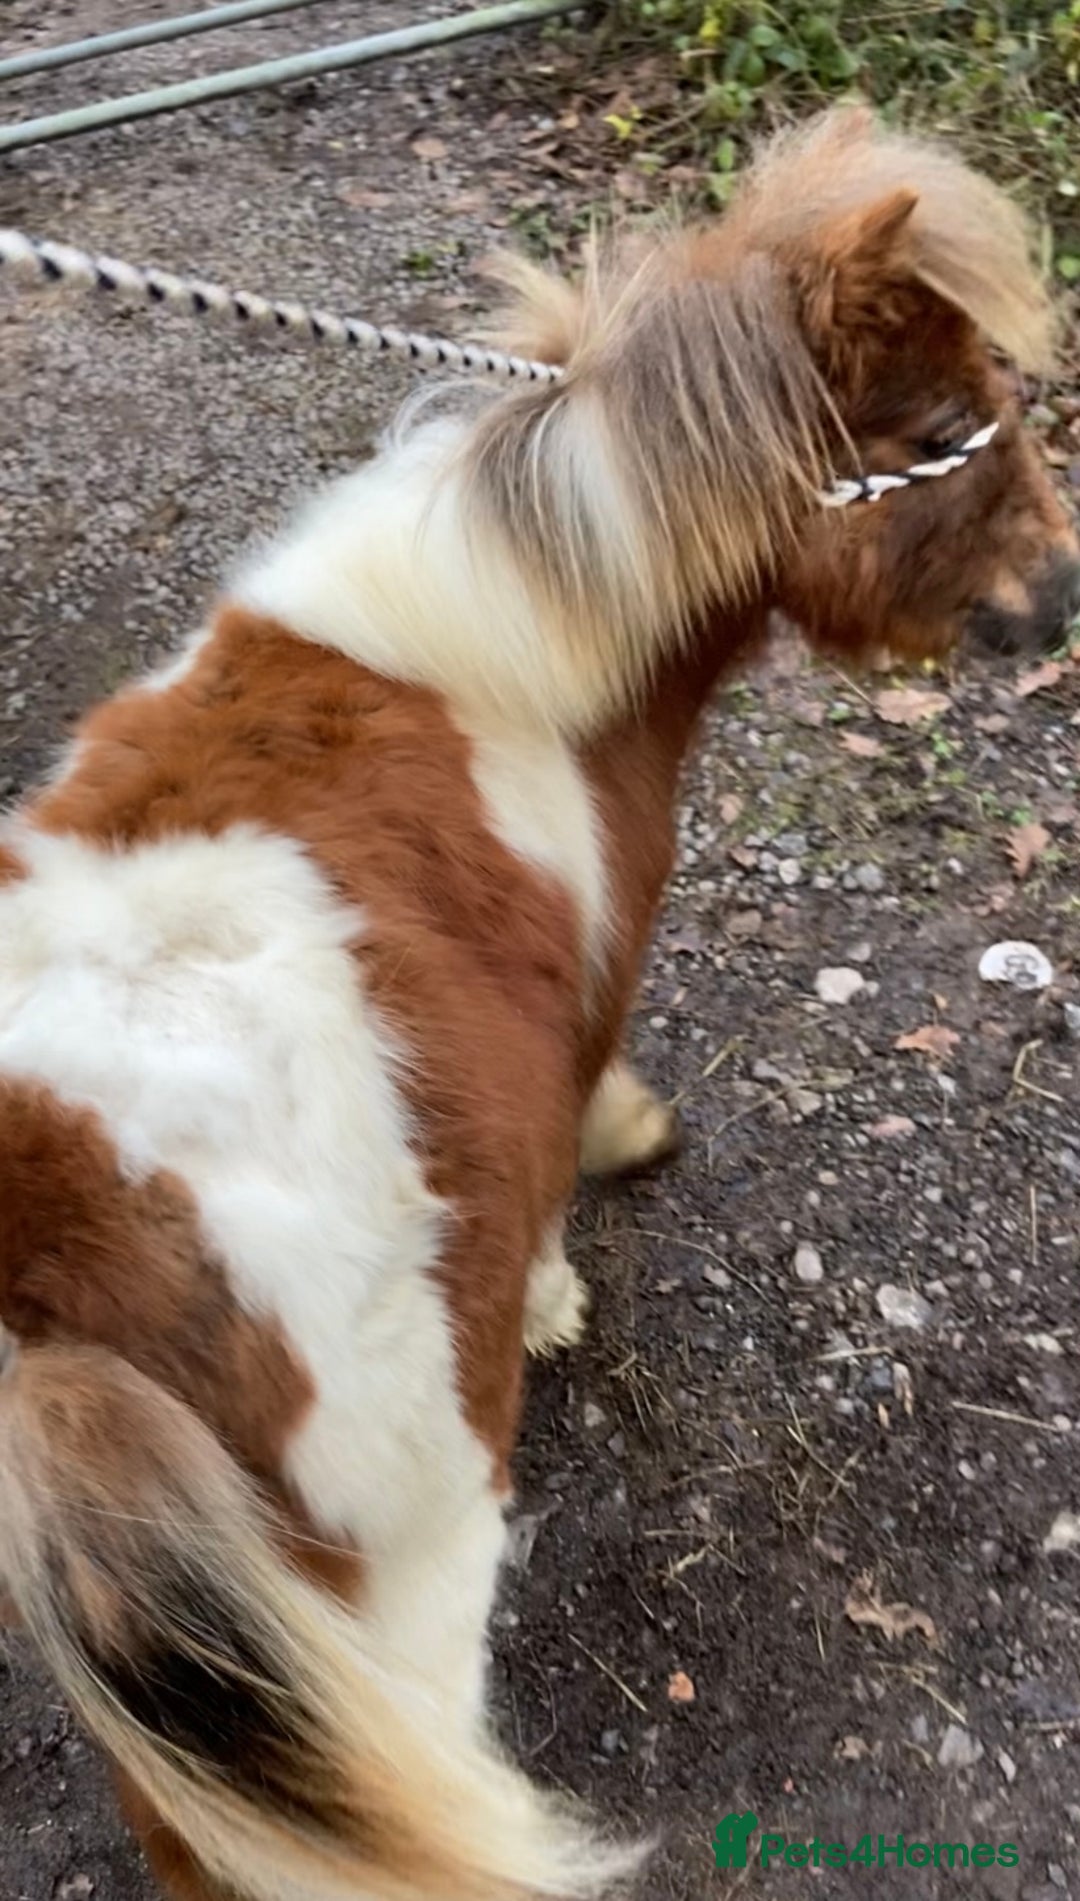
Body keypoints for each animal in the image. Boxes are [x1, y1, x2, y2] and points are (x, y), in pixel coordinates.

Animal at [0, 106, 1076, 1901]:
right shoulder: (587, 991)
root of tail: (57, 1247)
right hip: (393, 1605)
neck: (494, 644)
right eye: (940, 431)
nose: (1059, 597)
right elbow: (576, 1129)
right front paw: (569, 1270)